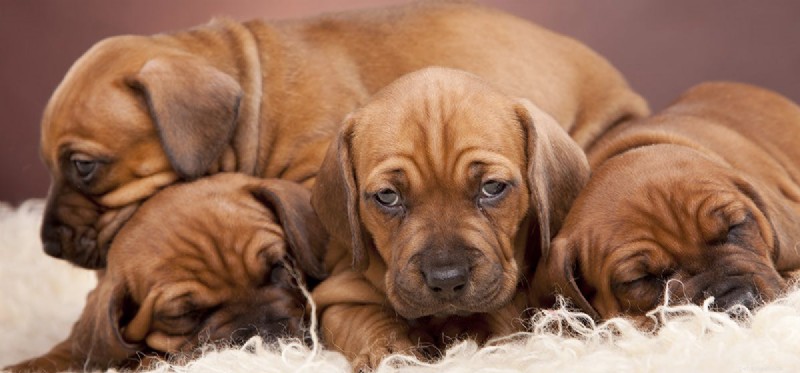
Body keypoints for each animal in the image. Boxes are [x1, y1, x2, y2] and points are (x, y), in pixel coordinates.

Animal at [310, 67, 592, 370]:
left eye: (493, 187)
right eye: (387, 196)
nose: (446, 280)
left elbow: (501, 316)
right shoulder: (337, 297)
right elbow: (364, 319)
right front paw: (388, 353)